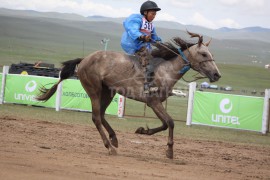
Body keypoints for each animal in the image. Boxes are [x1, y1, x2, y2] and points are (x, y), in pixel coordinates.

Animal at [36, 31, 221, 159]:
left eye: (212, 54)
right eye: (204, 54)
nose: (217, 75)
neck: (164, 70)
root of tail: (84, 60)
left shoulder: (155, 103)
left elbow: (164, 124)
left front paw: (142, 131)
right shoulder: (153, 102)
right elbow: (170, 122)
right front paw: (169, 151)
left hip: (108, 92)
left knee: (101, 115)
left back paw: (114, 139)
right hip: (94, 90)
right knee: (96, 117)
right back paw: (109, 146)